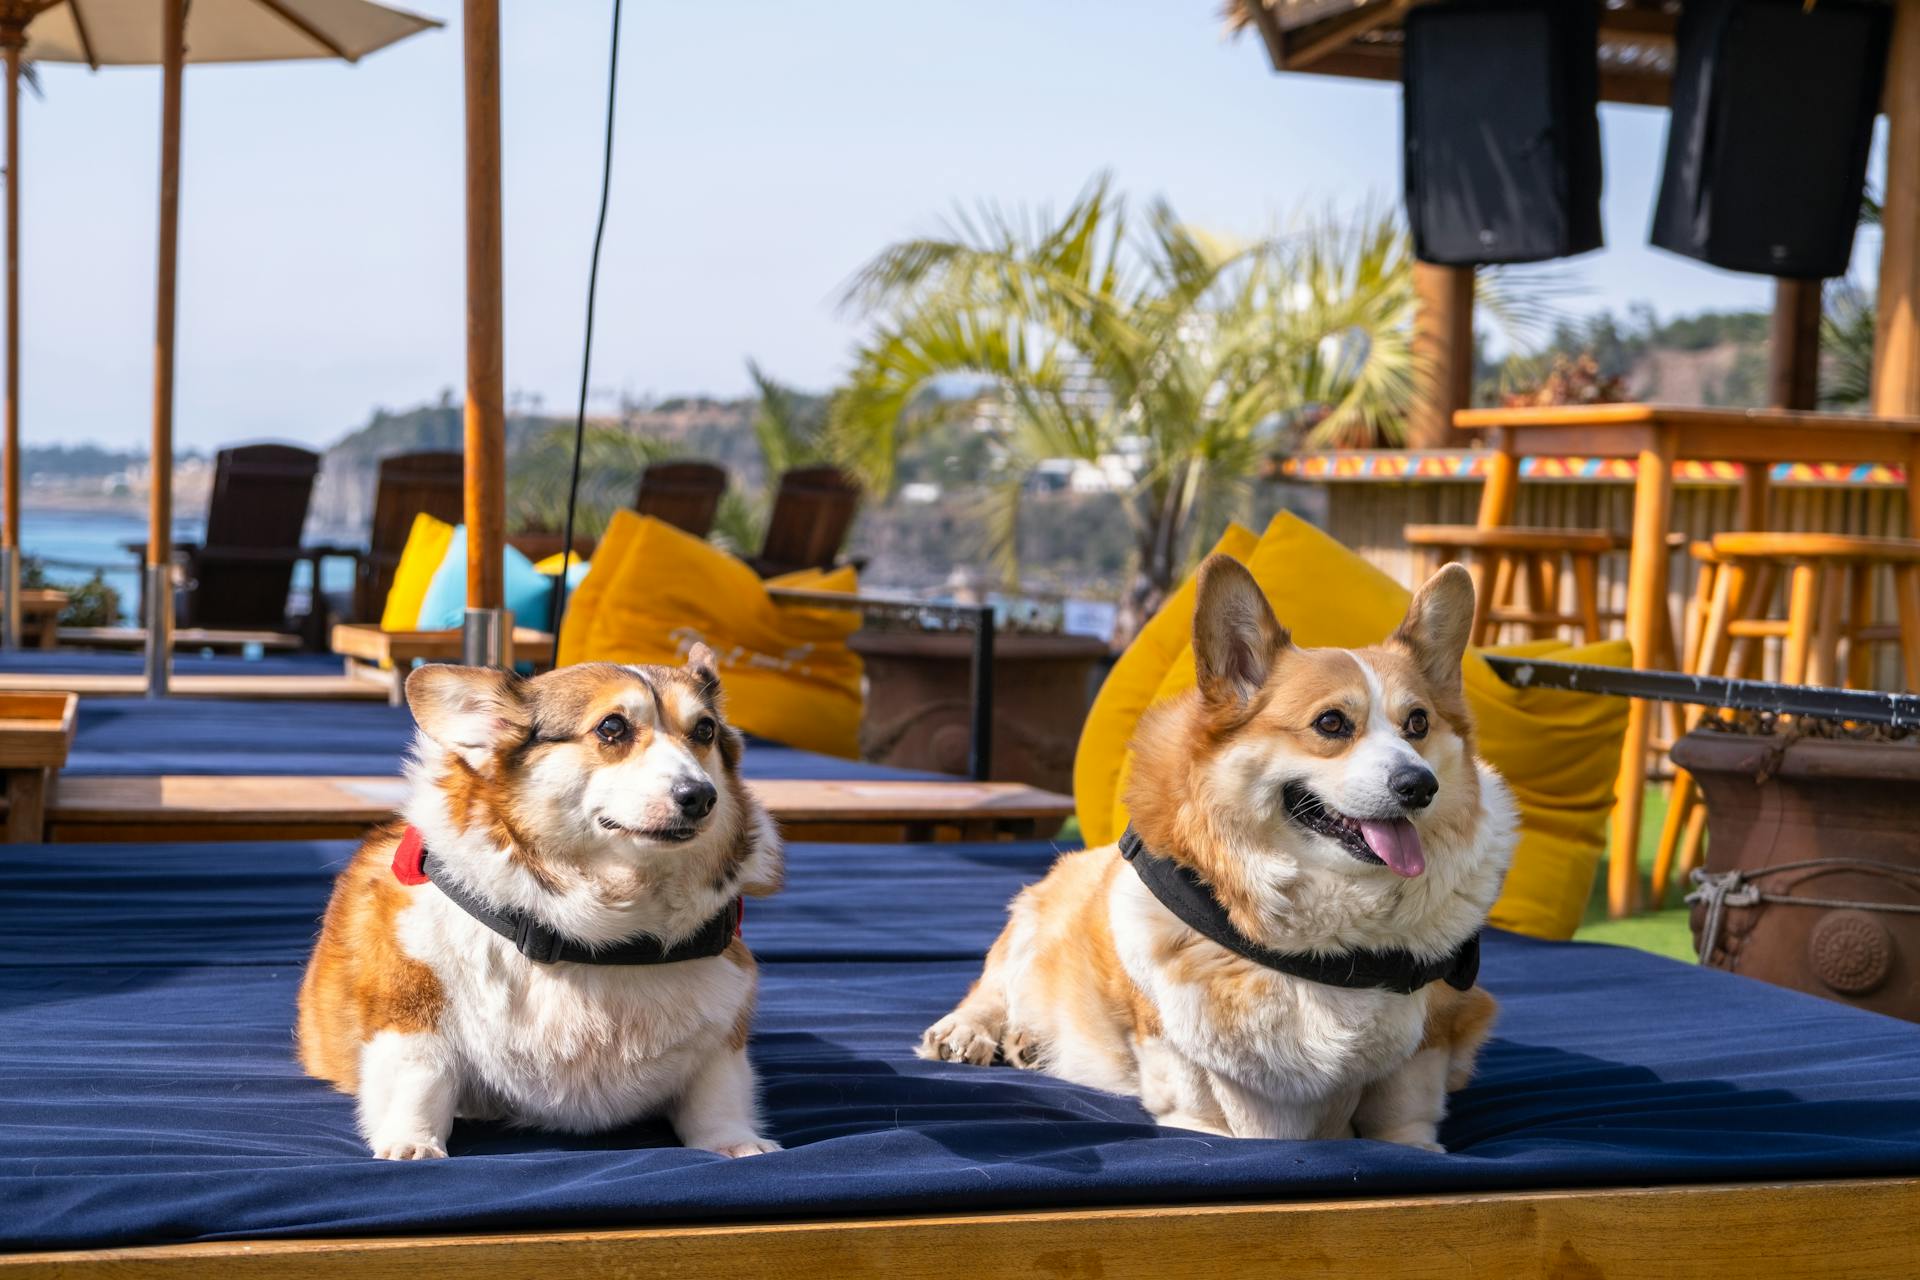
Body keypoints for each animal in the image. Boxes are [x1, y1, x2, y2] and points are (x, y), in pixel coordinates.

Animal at [299, 652, 779, 1159]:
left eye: (705, 730)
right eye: (612, 727)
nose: (700, 796)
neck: (599, 941)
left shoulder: (721, 1039)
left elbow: (717, 1094)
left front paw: (735, 1143)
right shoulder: (411, 1011)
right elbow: (422, 1078)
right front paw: (413, 1144)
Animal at [917, 564, 1512, 1151]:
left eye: (1418, 724)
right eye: (1331, 723)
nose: (1421, 785)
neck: (1326, 940)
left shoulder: (1433, 1034)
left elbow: (1403, 1113)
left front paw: (1410, 1145)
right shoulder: (1170, 1034)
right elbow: (1207, 1102)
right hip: (1034, 922)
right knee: (994, 984)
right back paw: (970, 1030)